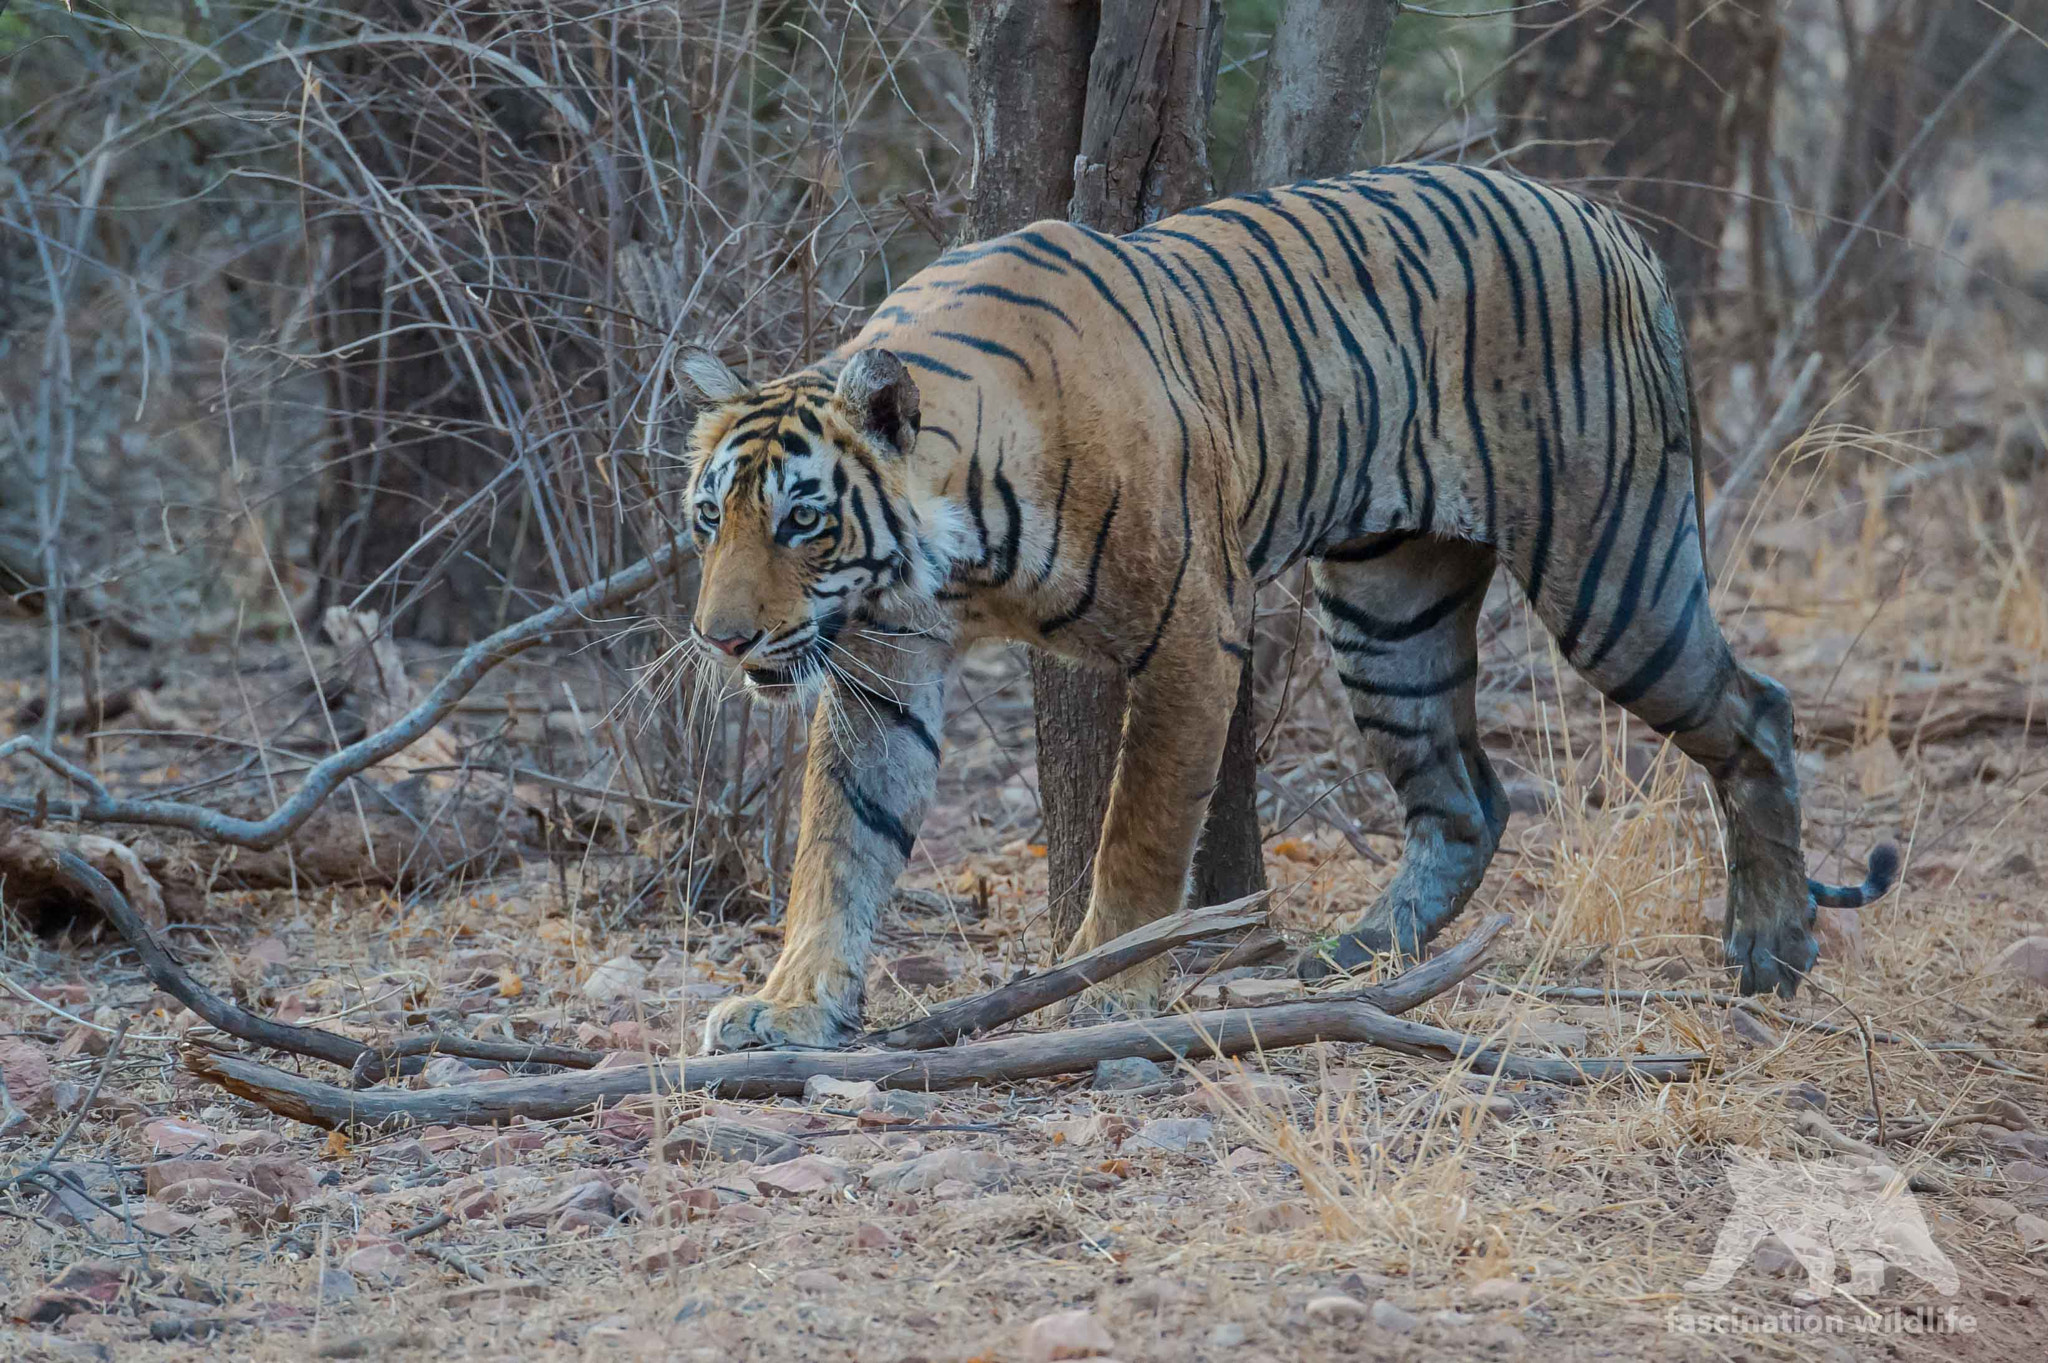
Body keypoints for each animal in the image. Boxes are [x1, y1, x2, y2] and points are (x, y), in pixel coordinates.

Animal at [676, 162, 1899, 1054]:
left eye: (802, 520)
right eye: (707, 521)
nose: (719, 638)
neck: (949, 557)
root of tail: (1613, 223)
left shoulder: (1189, 631)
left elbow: (1140, 831)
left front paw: (1110, 989)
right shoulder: (880, 668)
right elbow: (840, 843)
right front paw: (792, 1005)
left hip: (1612, 570)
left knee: (1755, 710)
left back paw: (1771, 947)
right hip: (1387, 613)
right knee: (1466, 797)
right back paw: (1356, 962)